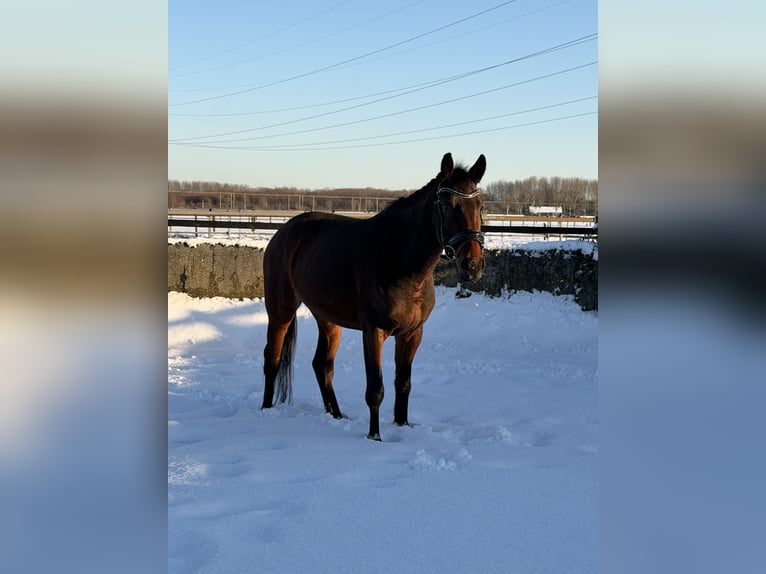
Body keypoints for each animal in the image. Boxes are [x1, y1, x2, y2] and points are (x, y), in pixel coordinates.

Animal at [261, 152, 486, 440]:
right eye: (447, 205)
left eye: (479, 205)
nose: (472, 266)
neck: (398, 258)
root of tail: (283, 232)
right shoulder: (373, 333)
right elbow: (375, 390)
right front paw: (374, 437)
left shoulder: (412, 334)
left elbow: (403, 384)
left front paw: (402, 426)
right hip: (281, 311)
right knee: (272, 359)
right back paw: (266, 410)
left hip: (328, 319)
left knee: (322, 365)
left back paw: (336, 415)